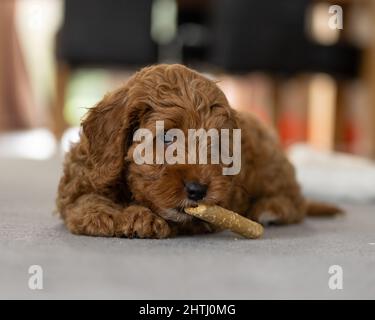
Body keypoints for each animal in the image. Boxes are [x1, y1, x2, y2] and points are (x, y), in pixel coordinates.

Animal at [56, 63, 340, 238]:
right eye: (167, 137)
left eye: (216, 144)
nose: (198, 190)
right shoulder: (82, 176)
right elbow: (82, 201)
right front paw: (107, 215)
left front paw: (139, 217)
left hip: (270, 168)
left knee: (295, 202)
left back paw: (269, 210)